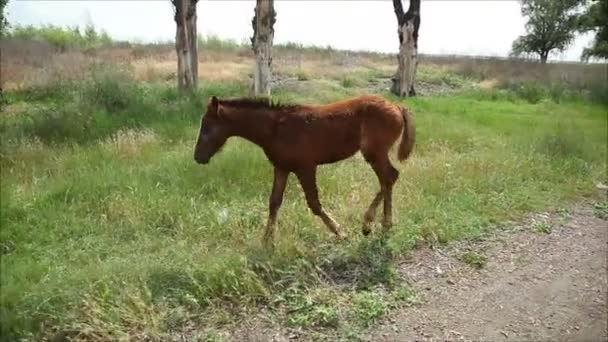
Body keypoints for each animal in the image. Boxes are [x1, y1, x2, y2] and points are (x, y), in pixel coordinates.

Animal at [192, 95, 416, 246]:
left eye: (207, 128)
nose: (198, 157)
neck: (275, 128)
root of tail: (397, 106)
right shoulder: (282, 168)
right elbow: (274, 202)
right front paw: (267, 241)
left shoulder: (306, 167)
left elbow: (314, 204)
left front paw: (340, 233)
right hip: (375, 154)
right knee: (389, 178)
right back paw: (375, 223)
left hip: (374, 153)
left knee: (389, 177)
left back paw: (375, 224)